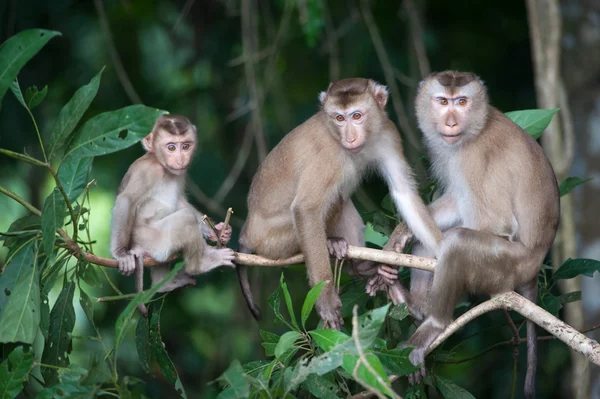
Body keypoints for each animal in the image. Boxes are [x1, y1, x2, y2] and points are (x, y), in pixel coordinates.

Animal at [111, 114, 238, 318]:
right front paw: (121, 254)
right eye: (171, 147)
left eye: (185, 146)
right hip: (154, 240)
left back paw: (165, 284)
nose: (180, 159)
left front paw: (218, 231)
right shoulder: (147, 171)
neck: (160, 165)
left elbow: (180, 202)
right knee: (185, 219)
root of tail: (136, 245)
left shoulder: (180, 174)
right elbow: (126, 200)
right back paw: (200, 264)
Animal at [238, 79, 440, 332]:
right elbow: (306, 209)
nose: (350, 138)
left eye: (357, 115)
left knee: (341, 199)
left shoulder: (388, 133)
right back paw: (333, 246)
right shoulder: (328, 154)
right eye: (339, 118)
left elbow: (404, 193)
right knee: (333, 200)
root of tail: (248, 230)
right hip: (274, 242)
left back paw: (366, 268)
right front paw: (324, 298)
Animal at [368, 70, 560, 398]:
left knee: (457, 242)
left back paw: (433, 323)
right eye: (442, 101)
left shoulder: (474, 158)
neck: (475, 130)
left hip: (507, 266)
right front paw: (398, 237)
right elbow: (456, 202)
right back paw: (415, 304)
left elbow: (496, 224)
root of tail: (534, 270)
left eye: (461, 102)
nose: (450, 123)